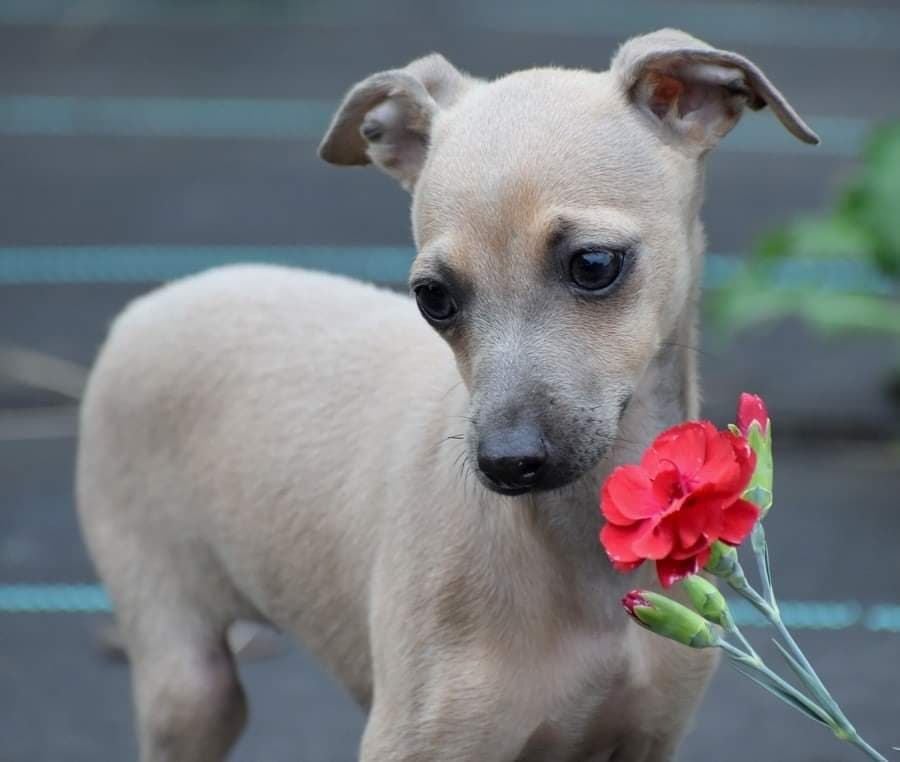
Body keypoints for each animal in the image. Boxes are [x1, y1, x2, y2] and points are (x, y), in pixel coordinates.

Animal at [76, 29, 817, 761]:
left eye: (594, 264)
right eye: (433, 297)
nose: (506, 463)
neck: (580, 559)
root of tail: (148, 305)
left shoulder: (648, 738)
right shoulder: (415, 742)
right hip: (188, 680)